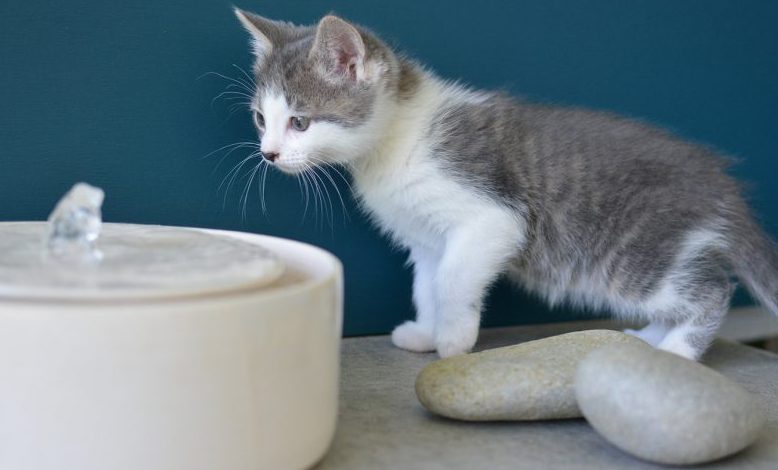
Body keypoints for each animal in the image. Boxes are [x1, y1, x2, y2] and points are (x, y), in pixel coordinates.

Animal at [232, 9, 776, 360]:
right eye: (261, 118)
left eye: (300, 122)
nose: (269, 153)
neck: (395, 141)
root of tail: (720, 183)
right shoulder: (427, 238)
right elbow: (428, 283)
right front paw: (427, 331)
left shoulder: (491, 216)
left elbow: (454, 279)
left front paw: (454, 340)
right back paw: (650, 342)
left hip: (638, 254)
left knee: (709, 291)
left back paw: (679, 352)